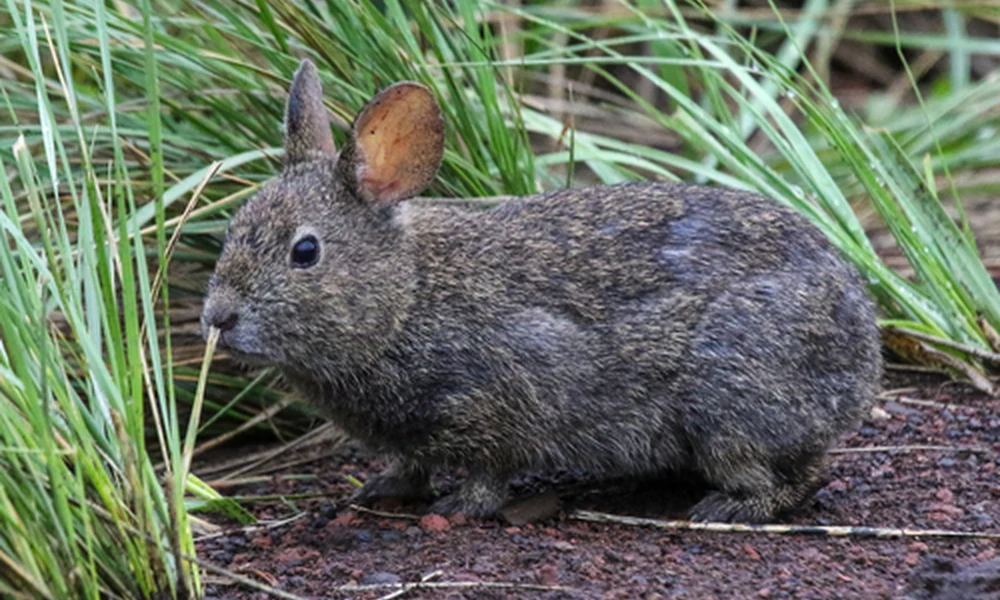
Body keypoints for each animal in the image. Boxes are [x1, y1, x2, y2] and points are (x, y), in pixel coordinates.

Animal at [202, 59, 882, 523]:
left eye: (305, 252)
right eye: (233, 229)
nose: (218, 317)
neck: (406, 297)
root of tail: (862, 356)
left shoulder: (505, 391)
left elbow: (491, 467)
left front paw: (458, 505)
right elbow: (410, 463)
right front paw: (384, 489)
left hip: (728, 396)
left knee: (793, 474)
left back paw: (727, 508)